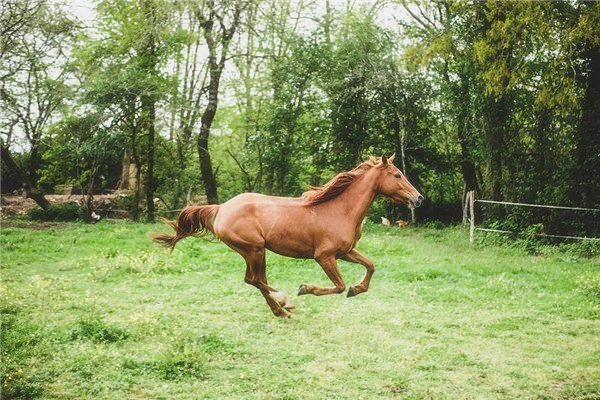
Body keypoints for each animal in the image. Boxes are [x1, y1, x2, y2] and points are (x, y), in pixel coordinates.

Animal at [152, 154, 424, 318]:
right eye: (397, 175)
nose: (419, 198)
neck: (339, 210)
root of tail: (222, 208)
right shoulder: (324, 256)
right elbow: (338, 286)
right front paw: (306, 288)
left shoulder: (345, 252)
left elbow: (370, 265)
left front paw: (357, 289)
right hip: (254, 249)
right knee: (255, 280)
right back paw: (283, 304)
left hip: (256, 252)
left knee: (255, 280)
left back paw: (280, 308)